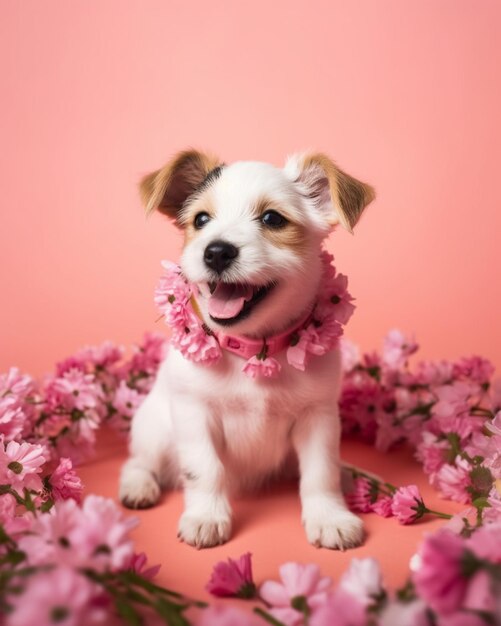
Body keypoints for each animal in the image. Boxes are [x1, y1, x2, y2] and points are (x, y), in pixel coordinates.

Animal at [119, 150, 374, 544]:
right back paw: (138, 485)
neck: (253, 351)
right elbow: (205, 468)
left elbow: (320, 473)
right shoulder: (194, 414)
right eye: (201, 219)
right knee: (140, 461)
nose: (216, 252)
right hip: (154, 430)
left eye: (272, 219)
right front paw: (206, 516)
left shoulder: (318, 418)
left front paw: (330, 516)